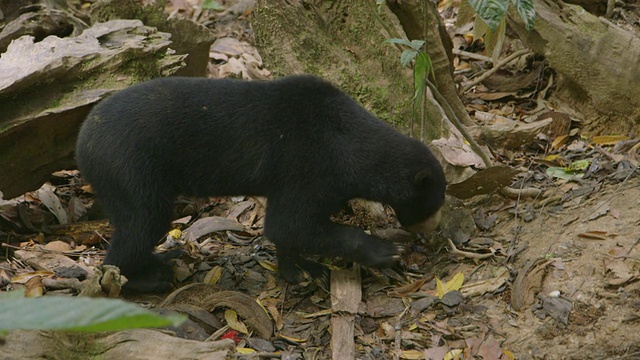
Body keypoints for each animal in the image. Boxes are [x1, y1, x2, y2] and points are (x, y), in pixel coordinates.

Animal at [75, 74, 444, 292]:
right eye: (433, 204)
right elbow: (291, 223)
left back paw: (163, 261)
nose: (430, 235)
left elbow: (288, 230)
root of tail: (84, 138)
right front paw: (385, 252)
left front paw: (302, 270)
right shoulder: (309, 165)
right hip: (129, 169)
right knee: (141, 224)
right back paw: (149, 277)